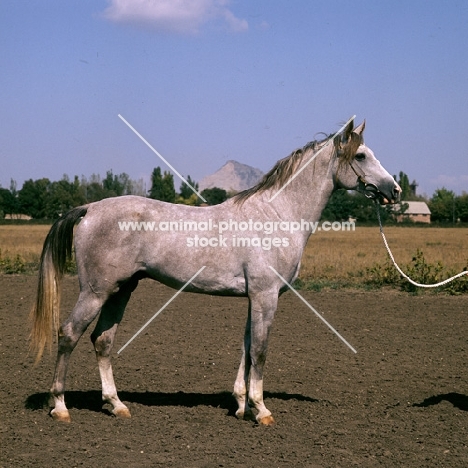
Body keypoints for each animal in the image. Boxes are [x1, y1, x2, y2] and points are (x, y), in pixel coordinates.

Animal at [30, 119, 402, 424]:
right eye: (361, 156)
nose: (395, 191)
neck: (276, 214)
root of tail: (89, 209)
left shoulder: (254, 298)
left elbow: (247, 347)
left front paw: (241, 405)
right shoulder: (266, 296)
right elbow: (261, 350)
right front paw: (261, 410)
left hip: (121, 290)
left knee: (103, 340)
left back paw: (115, 404)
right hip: (95, 291)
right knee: (69, 334)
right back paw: (60, 406)